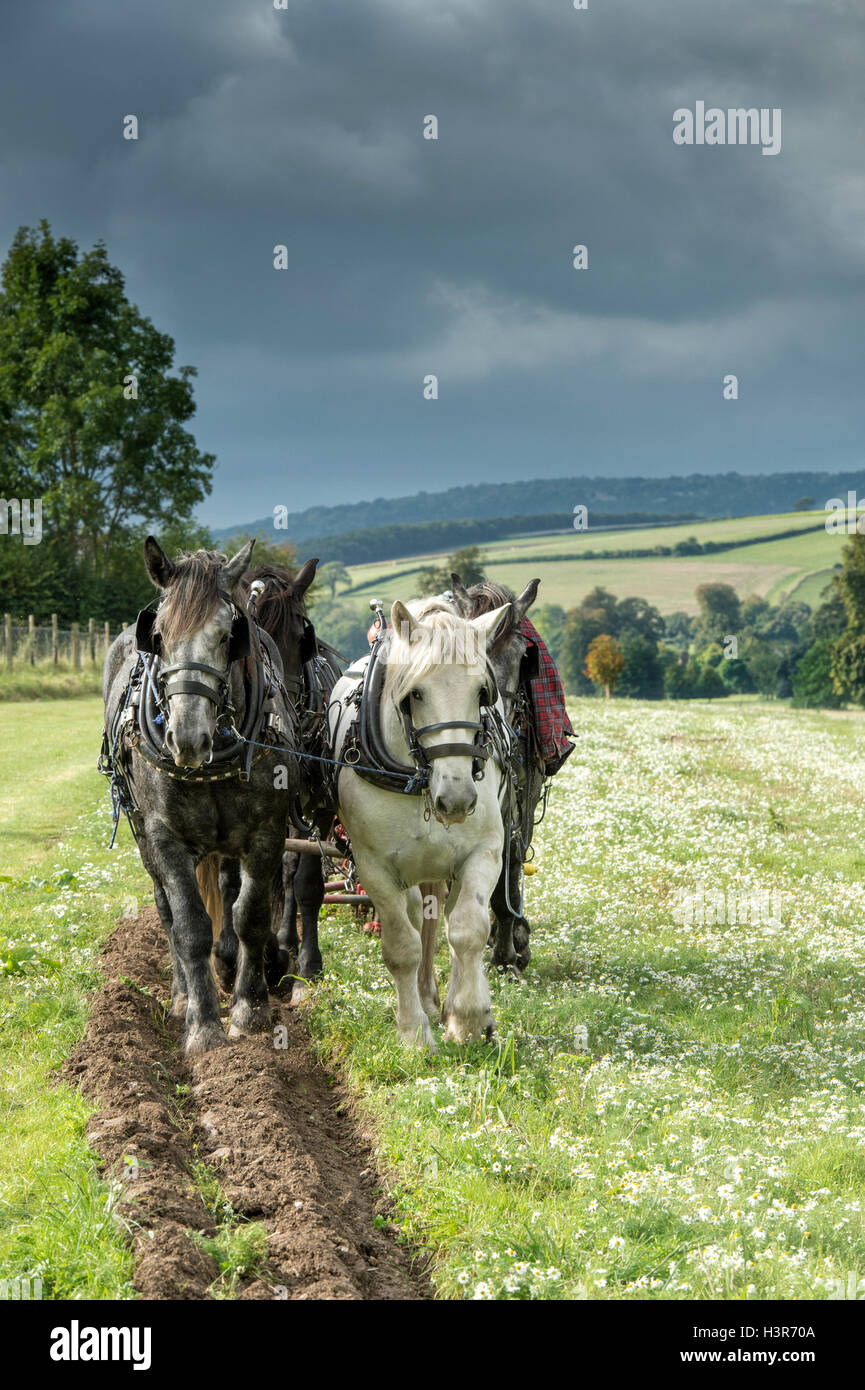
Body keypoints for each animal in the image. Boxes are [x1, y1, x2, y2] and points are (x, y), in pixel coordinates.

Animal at [101, 538, 299, 1054]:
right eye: (159, 635)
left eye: (228, 635)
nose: (187, 738)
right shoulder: (165, 837)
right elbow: (189, 925)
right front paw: (203, 1025)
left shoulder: (267, 833)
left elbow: (249, 914)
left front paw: (249, 1009)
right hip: (142, 835)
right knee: (166, 911)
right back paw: (180, 995)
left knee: (228, 892)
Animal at [328, 600, 512, 1048]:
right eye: (415, 693)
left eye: (482, 692)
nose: (458, 798)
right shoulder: (374, 868)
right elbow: (402, 947)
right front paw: (413, 1033)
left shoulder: (484, 851)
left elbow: (467, 929)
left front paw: (469, 1018)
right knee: (417, 918)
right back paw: (425, 1002)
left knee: (444, 919)